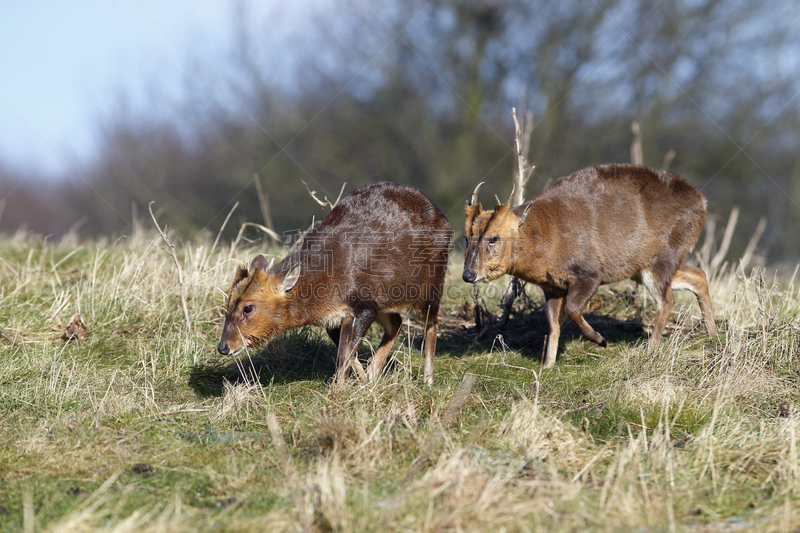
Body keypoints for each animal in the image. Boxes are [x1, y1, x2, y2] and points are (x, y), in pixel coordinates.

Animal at [217, 181, 450, 384]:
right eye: (227, 304)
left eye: (248, 308)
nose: (223, 347)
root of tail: (444, 219)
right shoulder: (337, 318)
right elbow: (347, 353)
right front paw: (363, 382)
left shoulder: (362, 305)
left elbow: (346, 354)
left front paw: (339, 390)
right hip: (385, 299)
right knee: (396, 322)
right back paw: (374, 374)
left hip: (431, 284)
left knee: (432, 322)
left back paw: (428, 379)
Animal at [462, 163, 720, 366]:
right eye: (467, 237)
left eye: (493, 238)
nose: (468, 275)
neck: (546, 238)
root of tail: (702, 202)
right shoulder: (551, 286)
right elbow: (553, 324)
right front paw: (548, 365)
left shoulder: (590, 270)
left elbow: (573, 309)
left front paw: (600, 340)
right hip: (647, 265)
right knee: (698, 275)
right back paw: (713, 335)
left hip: (661, 257)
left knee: (667, 300)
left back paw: (651, 347)